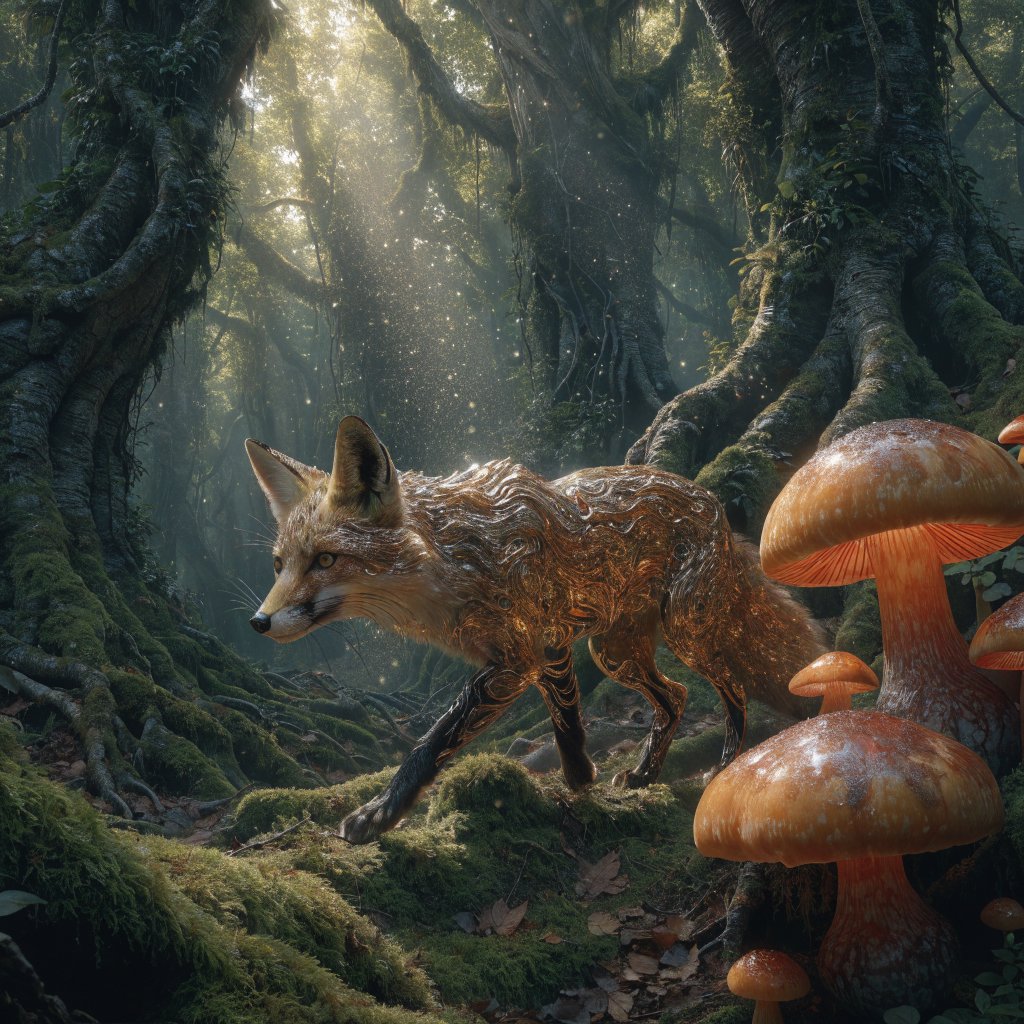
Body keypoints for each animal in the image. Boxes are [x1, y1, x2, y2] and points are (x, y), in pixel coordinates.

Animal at [245, 416, 825, 843]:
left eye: (325, 559)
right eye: (279, 565)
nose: (258, 622)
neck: (458, 560)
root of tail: (711, 501)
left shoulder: (518, 657)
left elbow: (434, 741)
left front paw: (380, 813)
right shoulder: (548, 648)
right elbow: (567, 721)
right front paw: (581, 781)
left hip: (689, 634)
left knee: (733, 688)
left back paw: (725, 766)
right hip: (613, 651)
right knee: (677, 697)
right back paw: (644, 775)